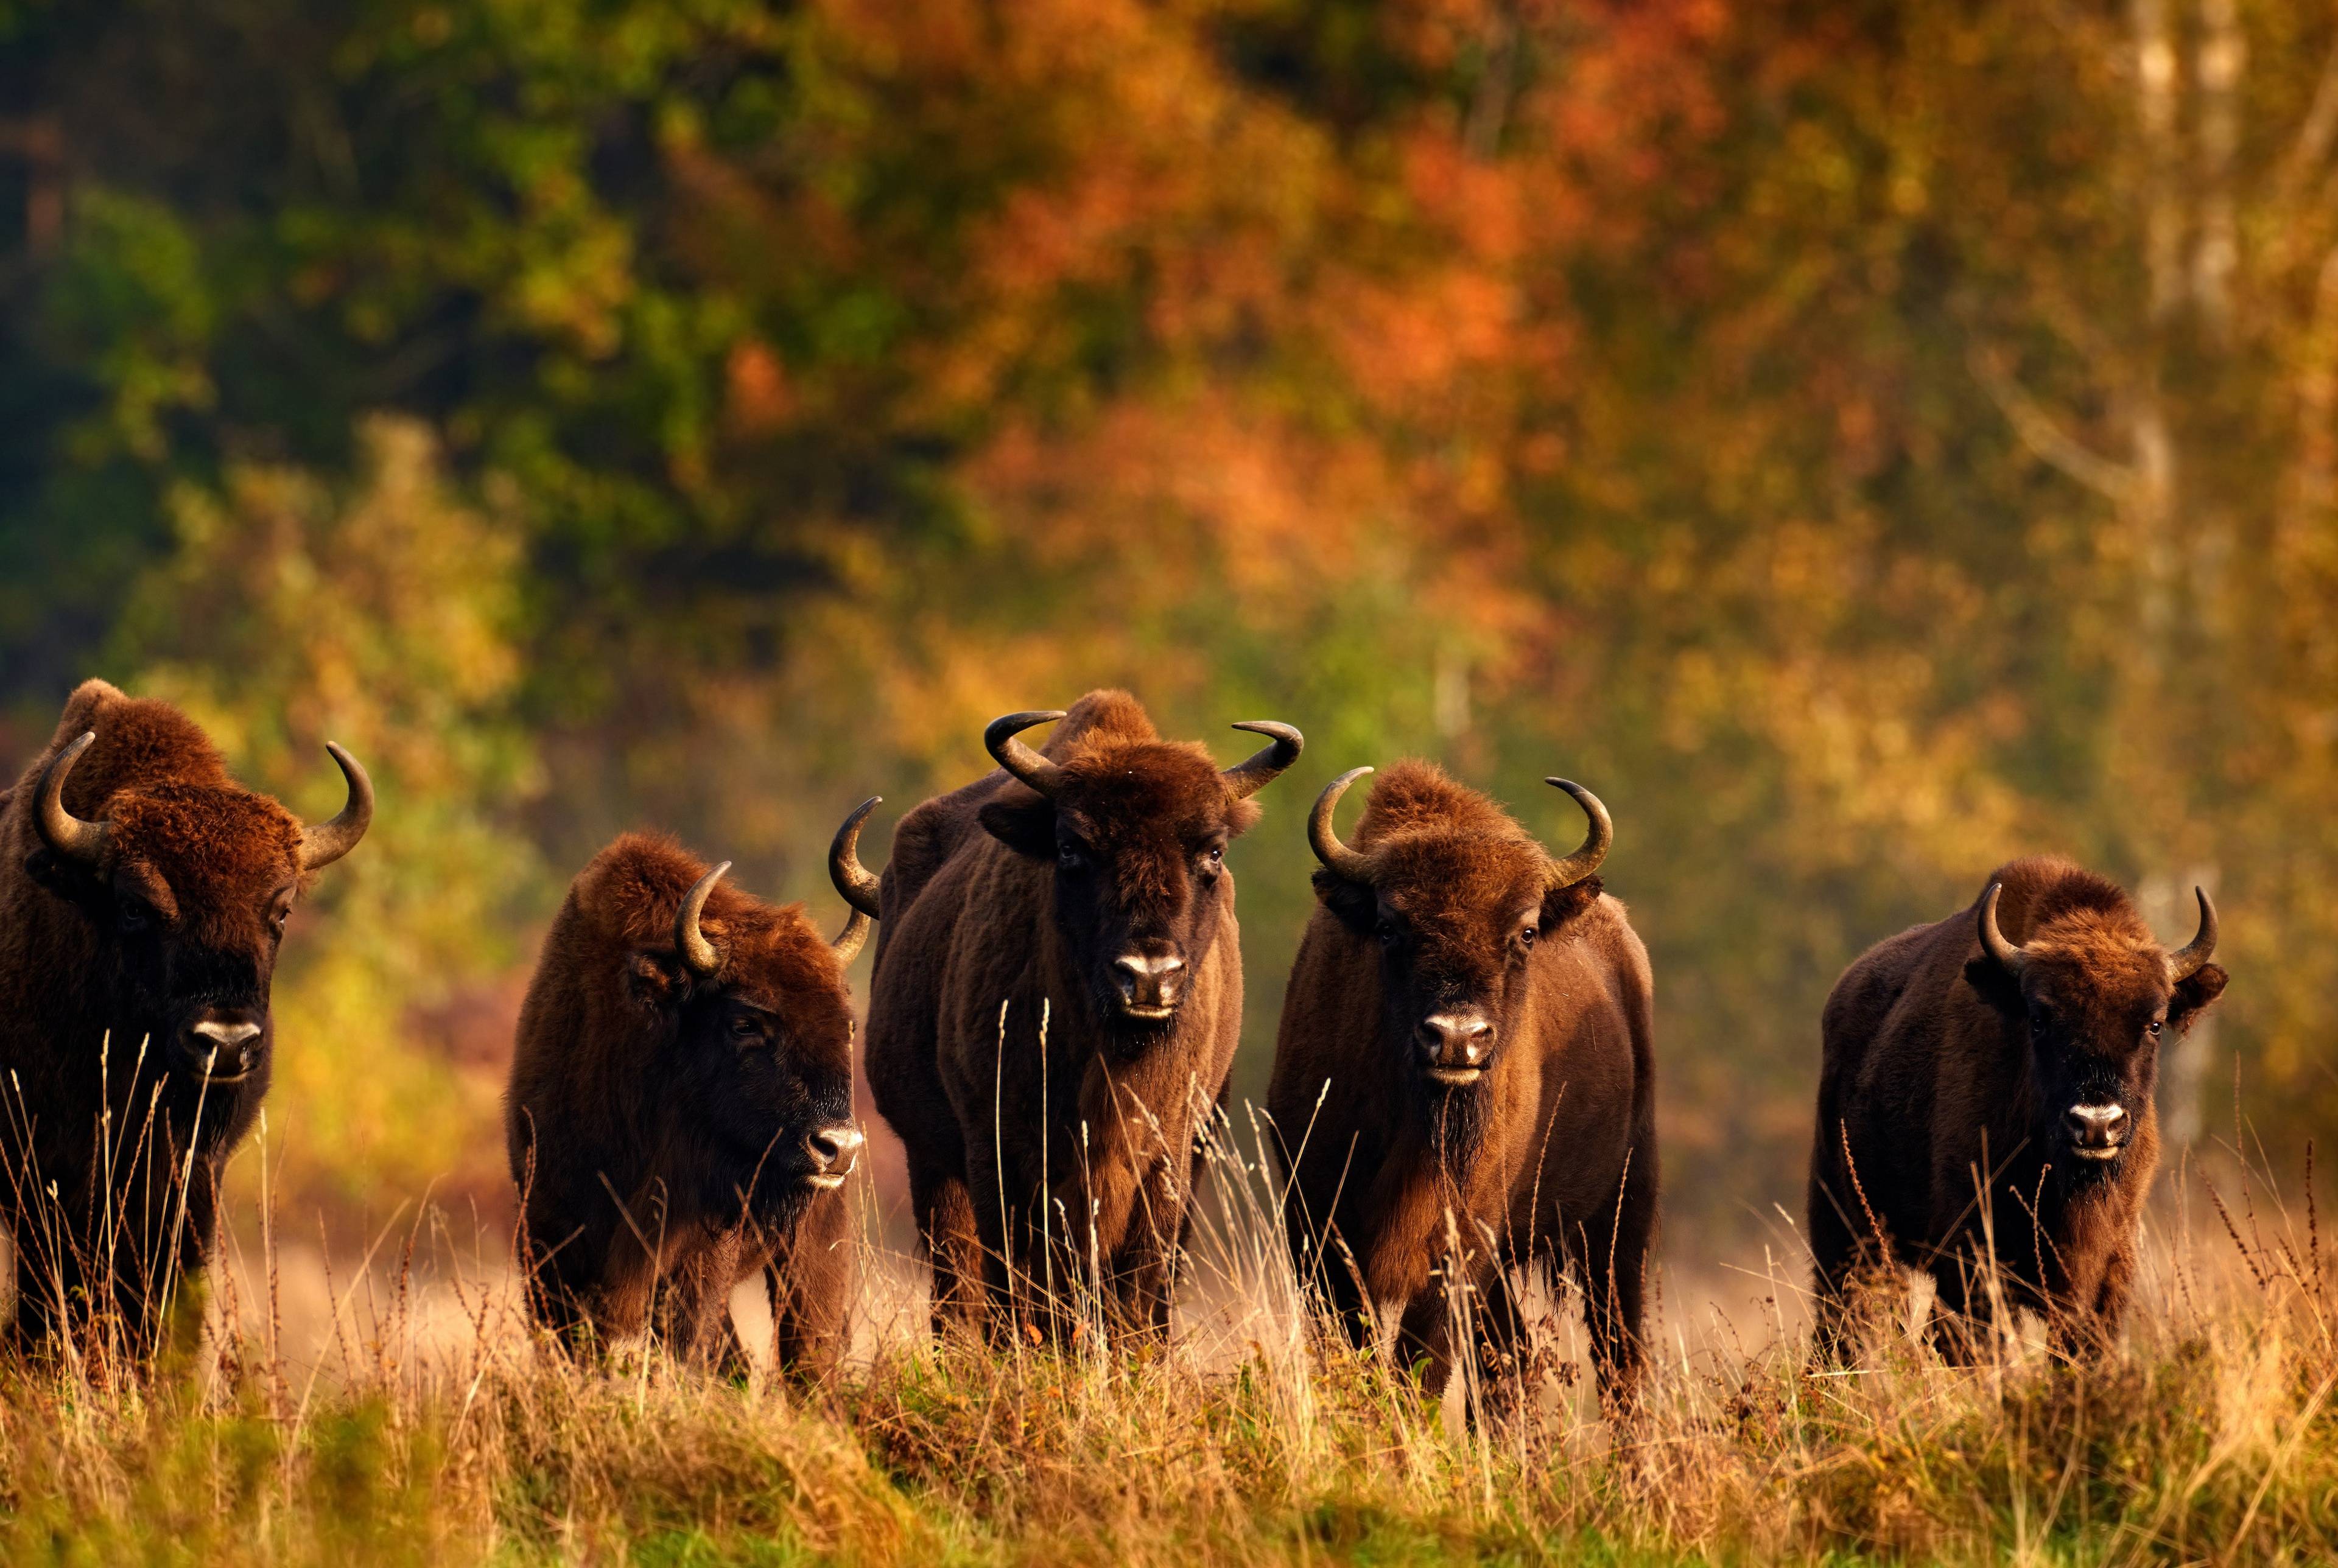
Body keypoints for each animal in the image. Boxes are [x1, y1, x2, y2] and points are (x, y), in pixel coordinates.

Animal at [505, 803, 879, 1383]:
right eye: (745, 1022)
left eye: (849, 1026)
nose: (838, 1147)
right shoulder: (549, 1247)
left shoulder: (697, 1258)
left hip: (810, 1250)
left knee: (808, 1357)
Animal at [1262, 761, 1665, 1411]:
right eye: (1388, 927)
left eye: (1526, 932)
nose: (1456, 1038)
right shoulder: (1318, 1223)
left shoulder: (1461, 1239)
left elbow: (1421, 1363)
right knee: (1512, 1358)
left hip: (1621, 1215)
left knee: (1617, 1356)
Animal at [1805, 859, 2225, 1365]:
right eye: (2039, 1019)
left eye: (2155, 1024)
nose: (2095, 1124)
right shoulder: (1973, 1255)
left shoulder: (2110, 1265)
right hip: (1845, 1229)